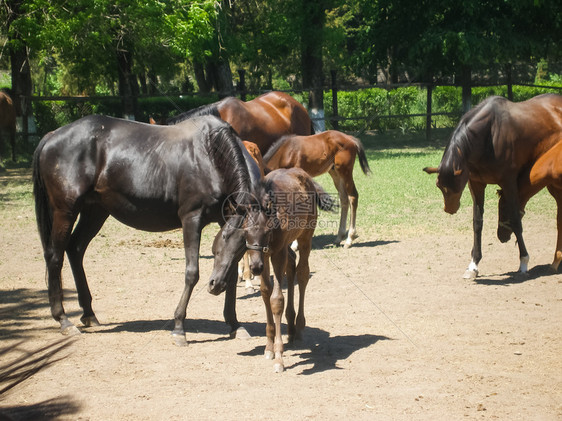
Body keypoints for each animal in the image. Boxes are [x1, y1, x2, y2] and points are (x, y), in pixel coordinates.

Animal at [32, 114, 270, 344]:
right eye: (225, 237)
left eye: (245, 244)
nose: (215, 285)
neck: (211, 155)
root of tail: (52, 136)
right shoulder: (191, 219)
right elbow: (192, 273)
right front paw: (179, 327)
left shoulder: (225, 218)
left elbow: (231, 272)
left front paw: (235, 325)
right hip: (65, 211)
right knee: (55, 256)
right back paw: (63, 320)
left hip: (95, 210)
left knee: (75, 249)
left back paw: (89, 314)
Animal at [498, 140, 562, 272]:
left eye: (502, 207)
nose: (500, 236)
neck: (555, 160)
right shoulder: (559, 195)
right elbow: (559, 223)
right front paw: (556, 262)